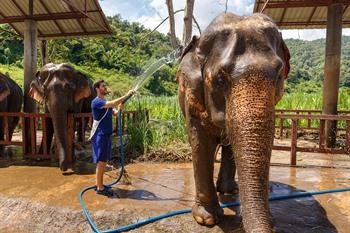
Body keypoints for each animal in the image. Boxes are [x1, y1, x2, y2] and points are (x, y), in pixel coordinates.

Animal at [176, 13, 292, 233]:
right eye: (221, 79)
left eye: (279, 75)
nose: (272, 225)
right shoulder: (192, 95)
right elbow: (201, 141)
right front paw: (207, 219)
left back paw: (230, 191)